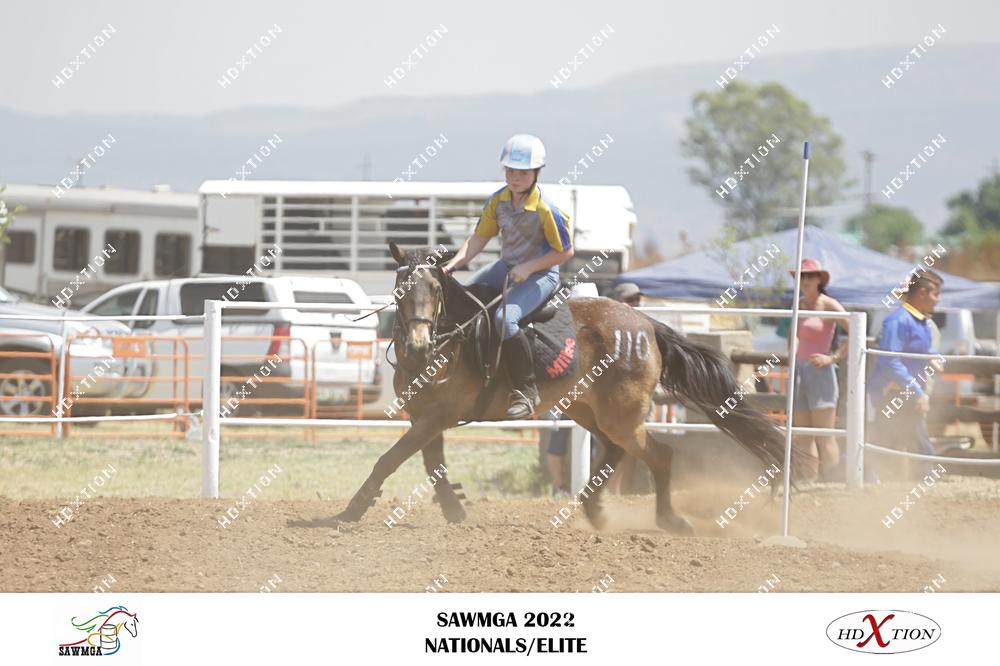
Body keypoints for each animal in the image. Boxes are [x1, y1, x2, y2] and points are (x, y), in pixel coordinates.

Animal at [332, 242, 798, 534]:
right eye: (401, 287)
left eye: (434, 288)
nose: (418, 342)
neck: (452, 339)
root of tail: (646, 324)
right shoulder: (426, 418)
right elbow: (434, 467)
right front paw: (455, 509)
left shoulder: (435, 417)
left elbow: (390, 460)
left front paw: (351, 510)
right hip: (588, 410)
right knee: (612, 453)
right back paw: (594, 511)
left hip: (621, 415)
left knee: (660, 455)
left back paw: (671, 520)